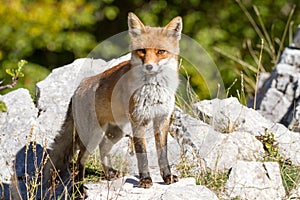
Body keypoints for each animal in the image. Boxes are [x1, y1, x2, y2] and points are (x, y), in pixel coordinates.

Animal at [43, 11, 182, 195]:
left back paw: (108, 173)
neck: (154, 90)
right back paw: (79, 189)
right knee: (80, 159)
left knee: (103, 148)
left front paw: (167, 177)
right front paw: (145, 180)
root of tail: (78, 88)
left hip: (116, 131)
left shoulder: (162, 119)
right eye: (142, 51)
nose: (149, 67)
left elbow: (162, 153)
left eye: (161, 51)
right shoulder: (138, 121)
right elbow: (142, 154)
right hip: (93, 136)